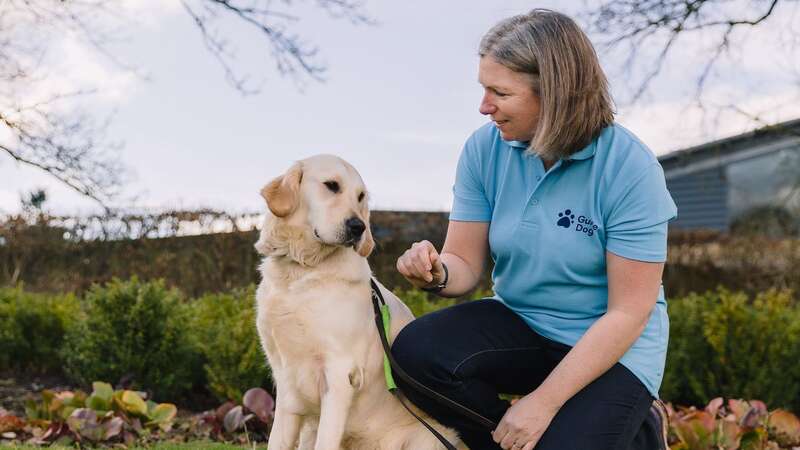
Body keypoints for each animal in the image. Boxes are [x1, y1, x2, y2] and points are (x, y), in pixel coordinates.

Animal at [250, 156, 462, 450]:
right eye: (331, 185)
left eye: (360, 196)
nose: (358, 227)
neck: (302, 272)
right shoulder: (285, 379)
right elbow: (277, 441)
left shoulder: (339, 372)